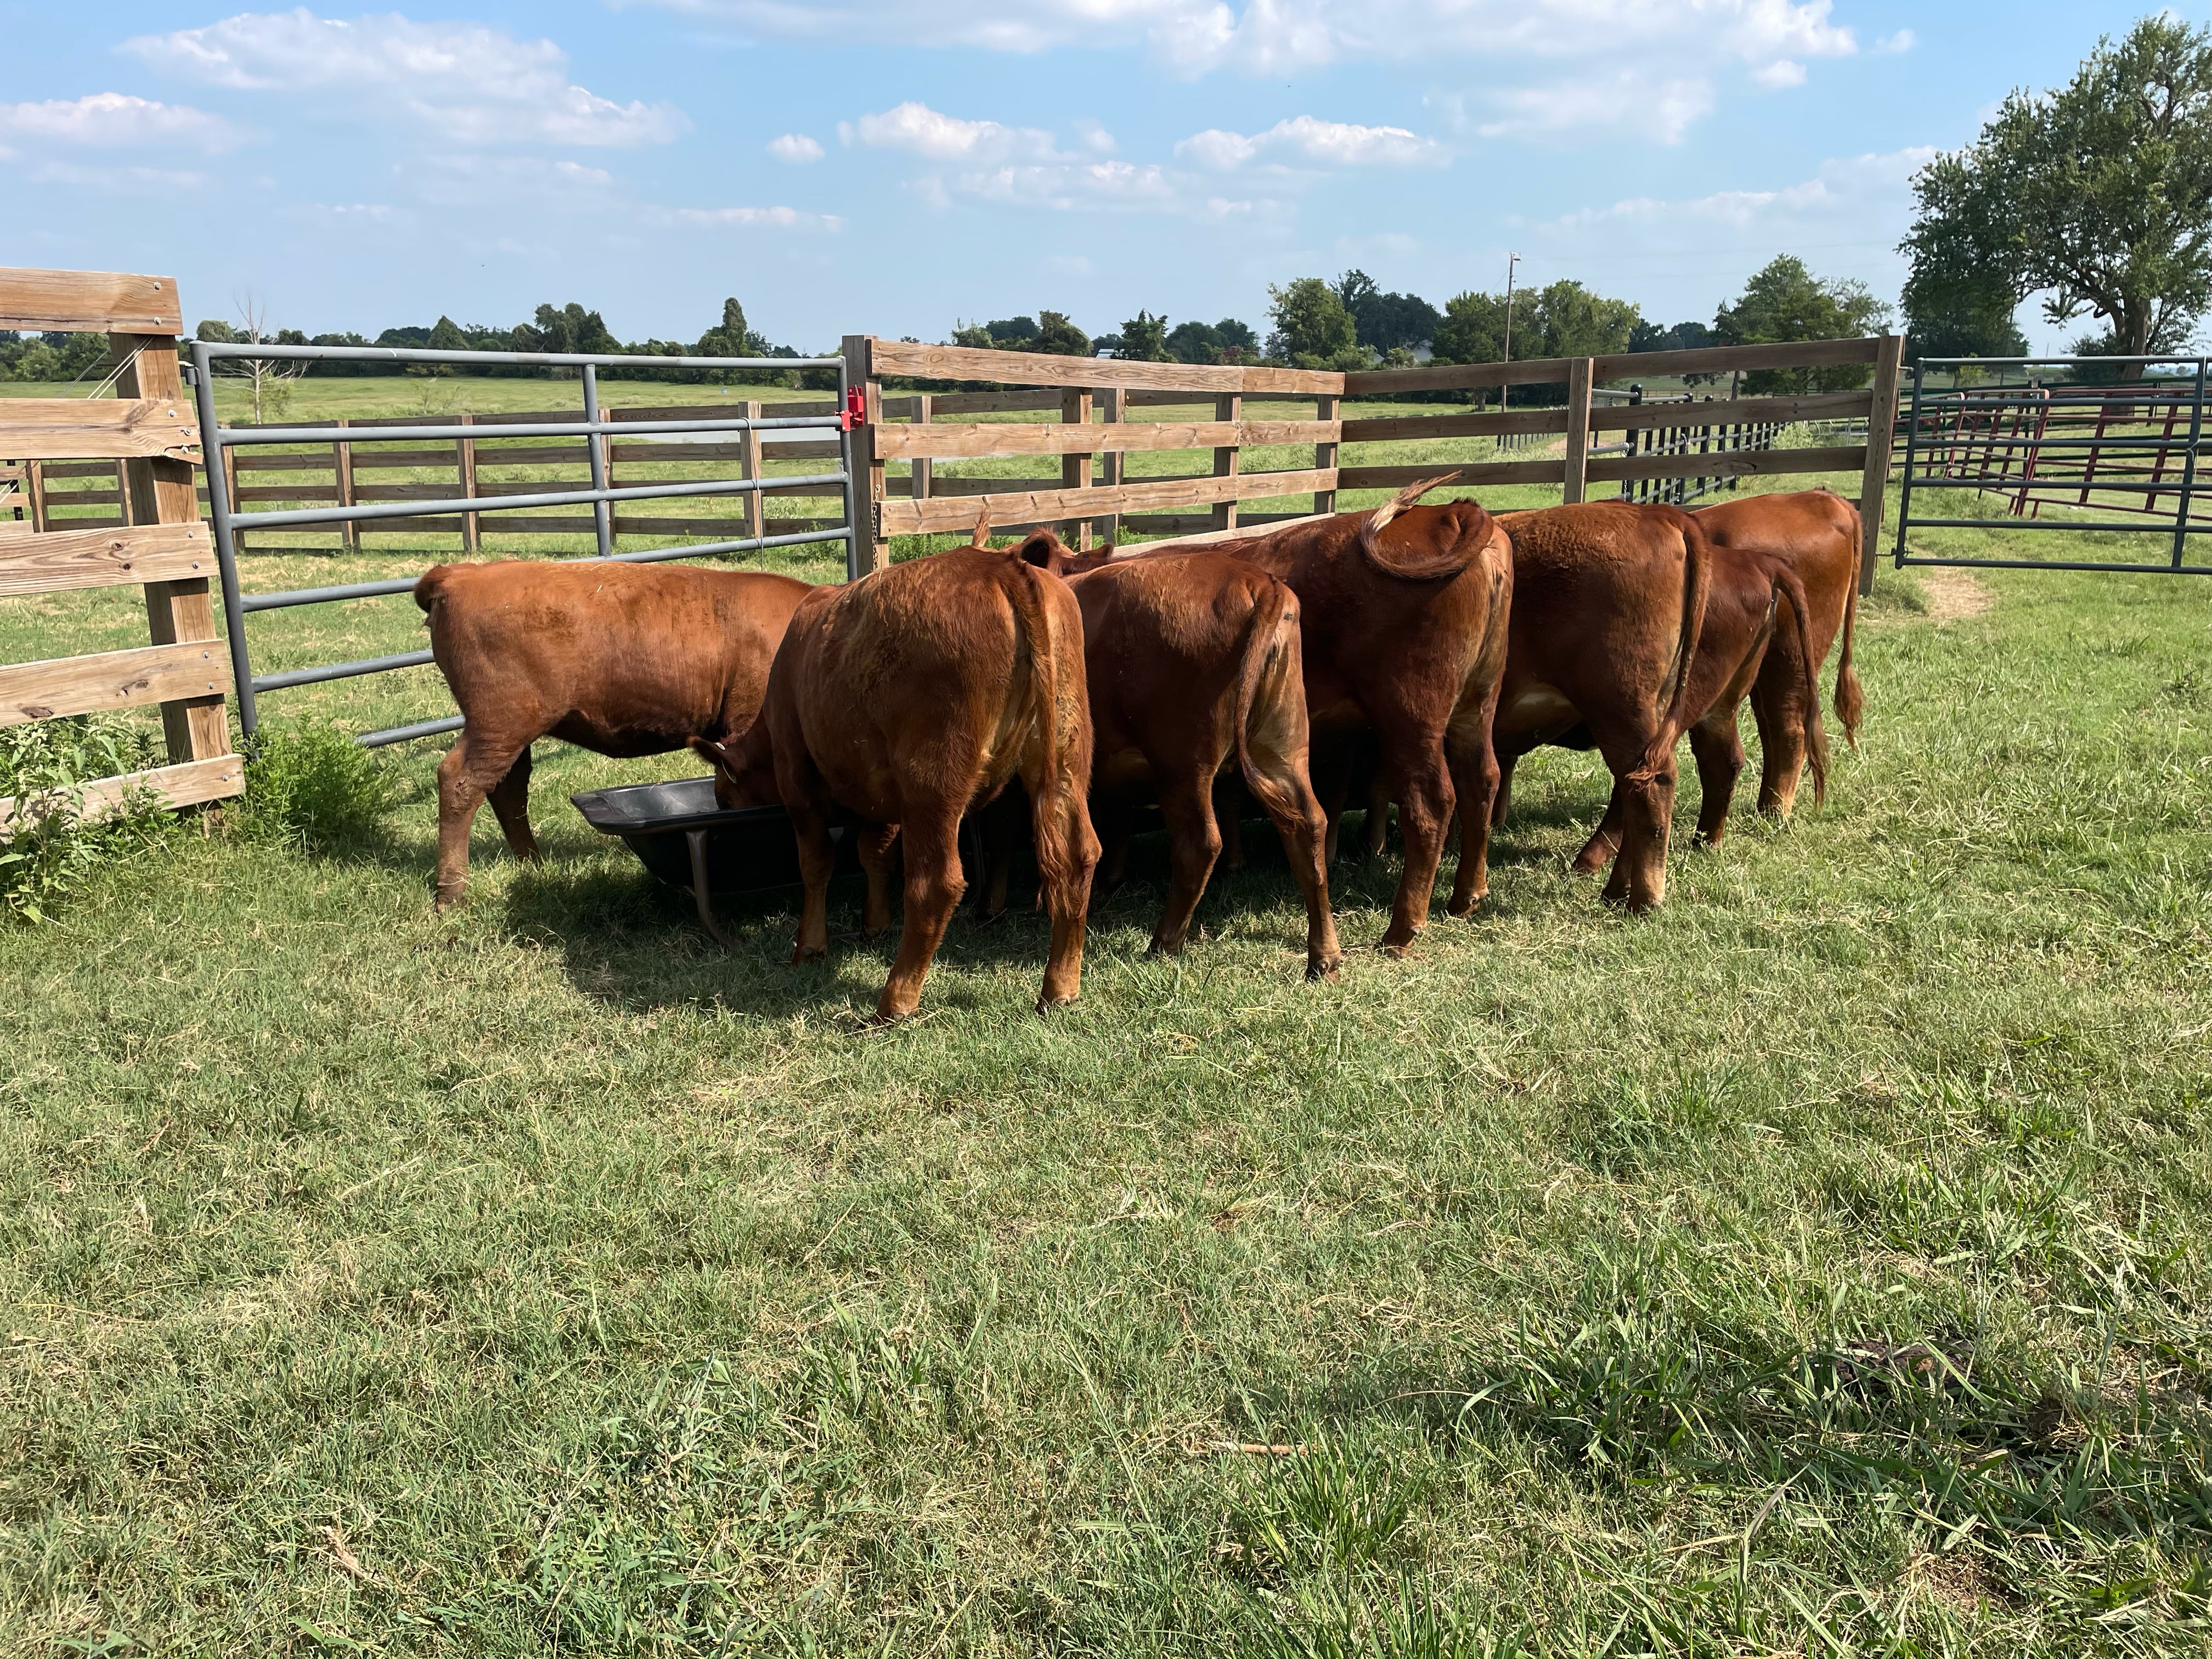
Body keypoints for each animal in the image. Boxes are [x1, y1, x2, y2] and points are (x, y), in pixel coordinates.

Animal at [416, 566, 814, 916]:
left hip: (510, 732)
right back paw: (452, 895)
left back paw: (533, 863)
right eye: (726, 802)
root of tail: (457, 574)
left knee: (508, 787)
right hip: (501, 725)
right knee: (461, 782)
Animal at [685, 533, 1092, 1026]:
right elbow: (873, 853)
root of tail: (1001, 565)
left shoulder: (797, 778)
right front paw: (874, 923)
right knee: (1078, 858)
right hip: (1065, 760)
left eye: (724, 799)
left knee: (935, 885)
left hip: (933, 781)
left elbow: (817, 863)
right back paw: (1060, 988)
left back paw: (896, 1000)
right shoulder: (879, 796)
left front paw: (810, 946)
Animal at [1013, 528, 1336, 973]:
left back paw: (1164, 941)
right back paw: (1325, 956)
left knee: (1200, 844)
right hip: (1283, 746)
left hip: (1182, 763)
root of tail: (1259, 582)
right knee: (1309, 825)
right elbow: (1116, 819)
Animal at [1132, 473, 1513, 955]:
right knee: (1481, 779)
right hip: (1478, 699)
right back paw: (1467, 896)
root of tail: (1454, 511)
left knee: (1430, 803)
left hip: (1410, 711)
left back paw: (1401, 930)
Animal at [1477, 506, 1716, 916]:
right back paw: (1616, 889)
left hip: (1619, 706)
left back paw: (1642, 898)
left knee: (1651, 788)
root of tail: (1661, 514)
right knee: (1630, 790)